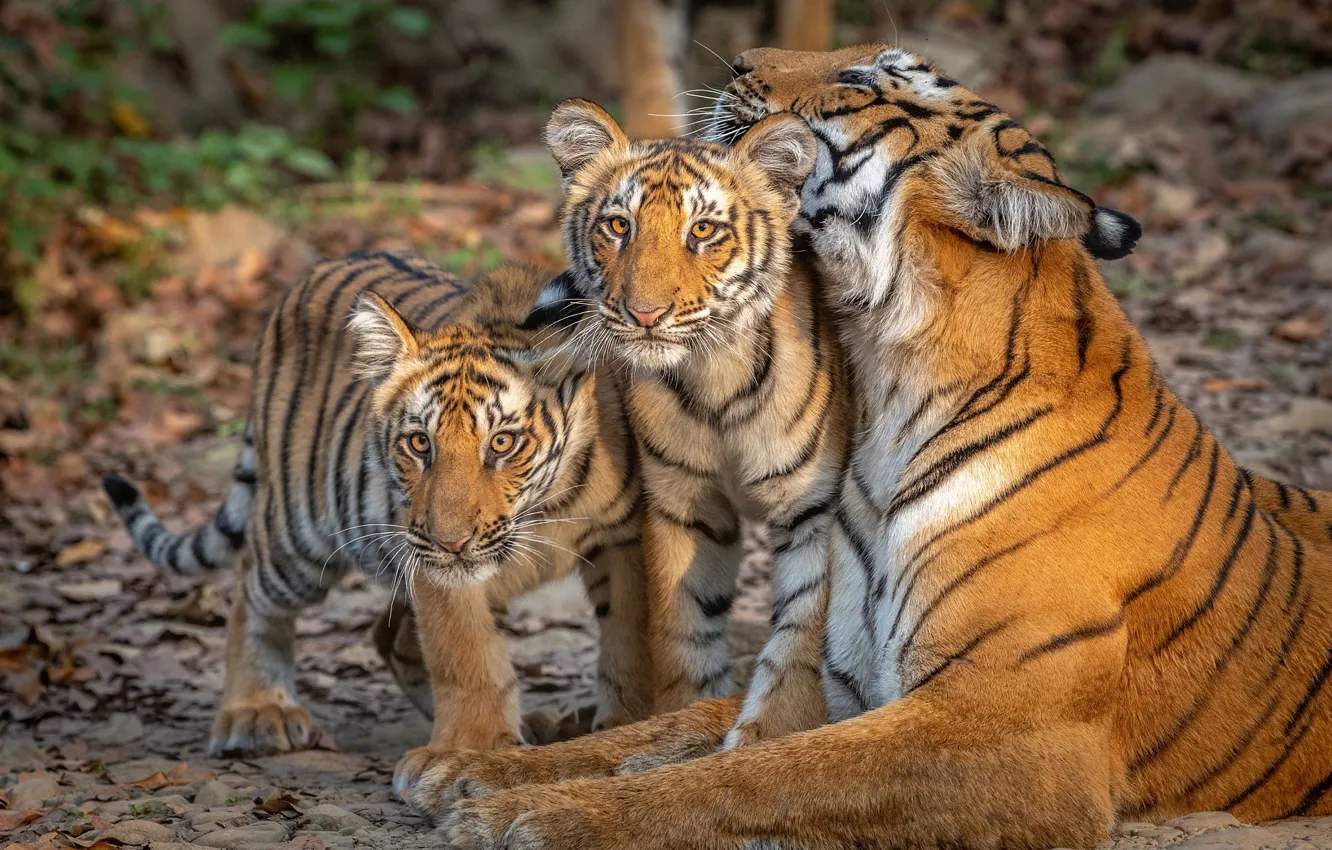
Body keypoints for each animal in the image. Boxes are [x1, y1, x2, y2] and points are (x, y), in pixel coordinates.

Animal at [102, 251, 651, 760]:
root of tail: (312, 271)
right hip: (298, 537)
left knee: (389, 636)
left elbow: (629, 640)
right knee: (250, 593)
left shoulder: (624, 540)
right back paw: (256, 712)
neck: (544, 509)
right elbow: (465, 655)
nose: (451, 542)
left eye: (502, 443)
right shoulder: (430, 561)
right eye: (419, 443)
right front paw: (473, 750)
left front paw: (627, 721)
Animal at [385, 48, 1332, 850]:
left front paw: (539, 815)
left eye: (860, 79)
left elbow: (756, 776)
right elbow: (687, 730)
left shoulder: (1017, 728)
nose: (739, 60)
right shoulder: (846, 680)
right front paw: (474, 772)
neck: (889, 379)